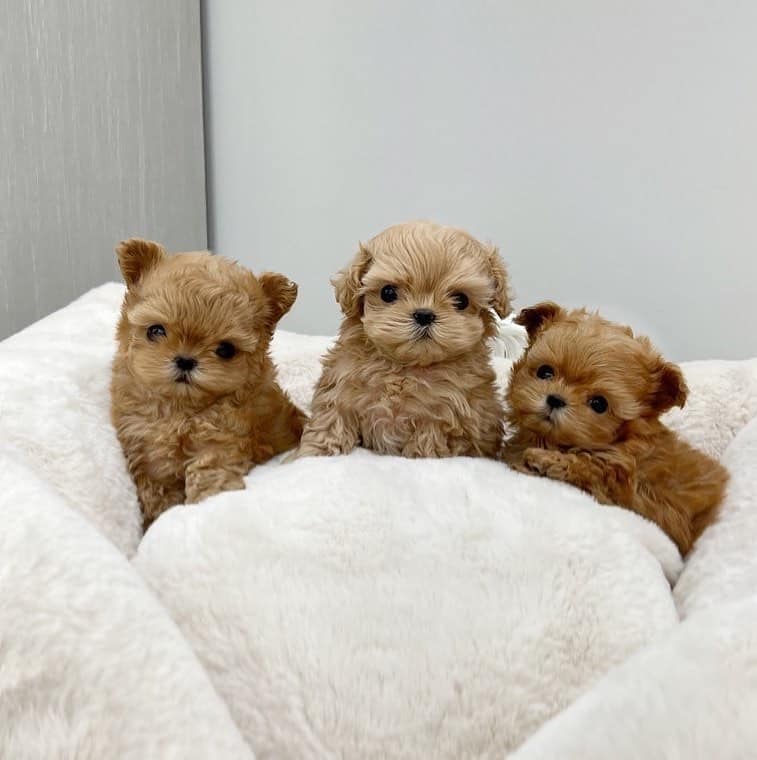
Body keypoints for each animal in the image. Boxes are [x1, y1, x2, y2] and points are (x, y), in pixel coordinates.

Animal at [110, 238, 306, 528]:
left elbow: (209, 475)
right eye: (155, 330)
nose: (185, 360)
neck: (180, 409)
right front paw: (158, 519)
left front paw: (204, 508)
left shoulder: (219, 441)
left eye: (225, 350)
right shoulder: (147, 451)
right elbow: (156, 493)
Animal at [292, 220, 510, 458]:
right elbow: (330, 425)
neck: (405, 367)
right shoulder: (341, 389)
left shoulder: (444, 413)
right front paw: (311, 455)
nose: (424, 315)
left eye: (461, 300)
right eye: (388, 293)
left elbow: (427, 442)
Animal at [502, 300, 728, 556]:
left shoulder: (618, 477)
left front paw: (543, 460)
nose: (556, 399)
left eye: (599, 404)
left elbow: (588, 467)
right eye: (545, 372)